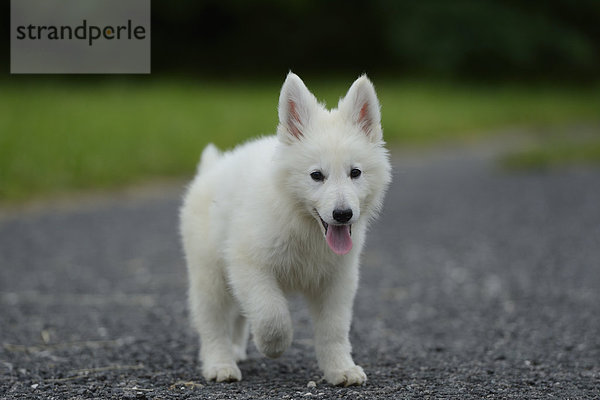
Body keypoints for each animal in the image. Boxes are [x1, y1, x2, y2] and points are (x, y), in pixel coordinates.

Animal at [180, 73, 392, 386]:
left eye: (355, 173)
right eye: (316, 175)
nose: (342, 215)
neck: (302, 222)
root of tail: (212, 168)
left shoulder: (338, 278)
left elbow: (334, 329)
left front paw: (341, 369)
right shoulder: (249, 265)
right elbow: (271, 314)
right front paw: (273, 346)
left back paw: (236, 350)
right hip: (209, 274)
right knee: (212, 322)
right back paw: (220, 364)